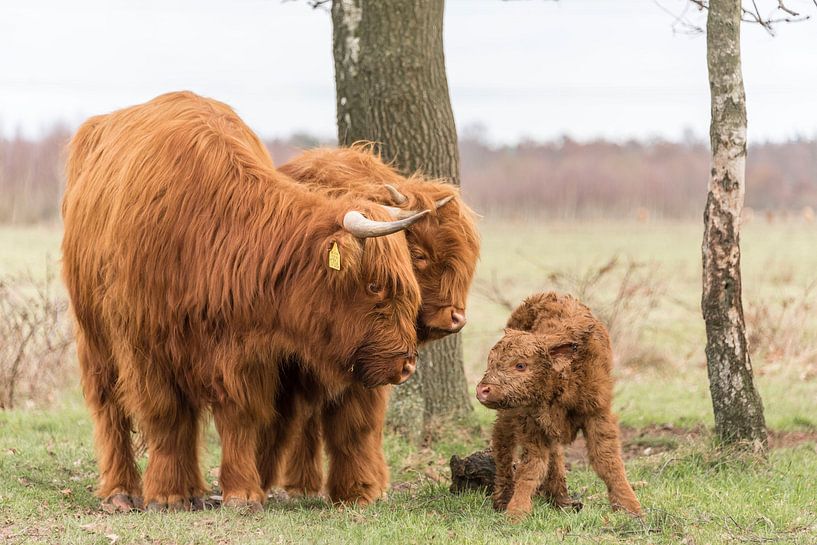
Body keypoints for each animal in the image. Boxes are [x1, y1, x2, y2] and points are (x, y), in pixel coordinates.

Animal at [61, 92, 428, 512]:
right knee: (109, 410)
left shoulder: (243, 353)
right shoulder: (145, 346)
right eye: (373, 286)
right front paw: (168, 494)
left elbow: (239, 417)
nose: (407, 364)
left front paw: (241, 493)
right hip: (94, 336)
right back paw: (121, 490)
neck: (210, 233)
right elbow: (165, 416)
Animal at [253, 146, 480, 504]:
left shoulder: (369, 364)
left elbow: (356, 426)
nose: (455, 318)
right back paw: (302, 483)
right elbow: (282, 420)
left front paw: (359, 489)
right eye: (419, 255)